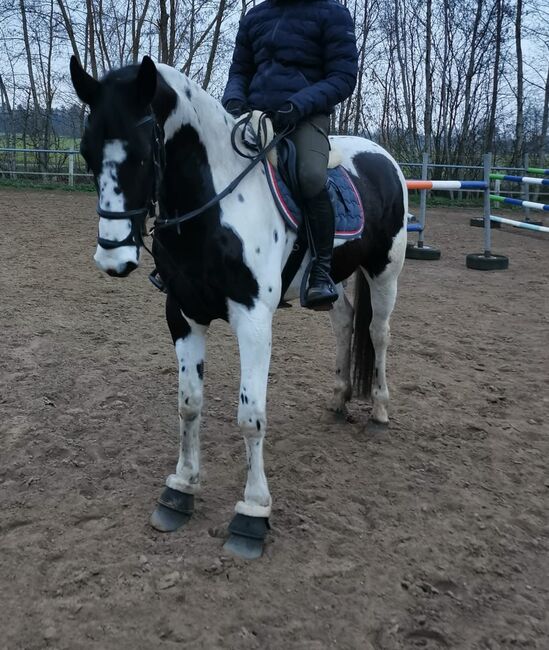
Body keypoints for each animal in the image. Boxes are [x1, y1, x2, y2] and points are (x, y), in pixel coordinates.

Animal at [70, 57, 406, 556]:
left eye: (143, 154)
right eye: (87, 153)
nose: (112, 258)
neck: (215, 209)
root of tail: (379, 154)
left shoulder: (253, 321)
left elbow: (251, 418)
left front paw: (252, 512)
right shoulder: (183, 315)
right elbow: (189, 404)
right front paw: (180, 489)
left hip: (384, 272)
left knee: (378, 334)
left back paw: (380, 412)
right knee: (345, 323)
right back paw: (339, 398)